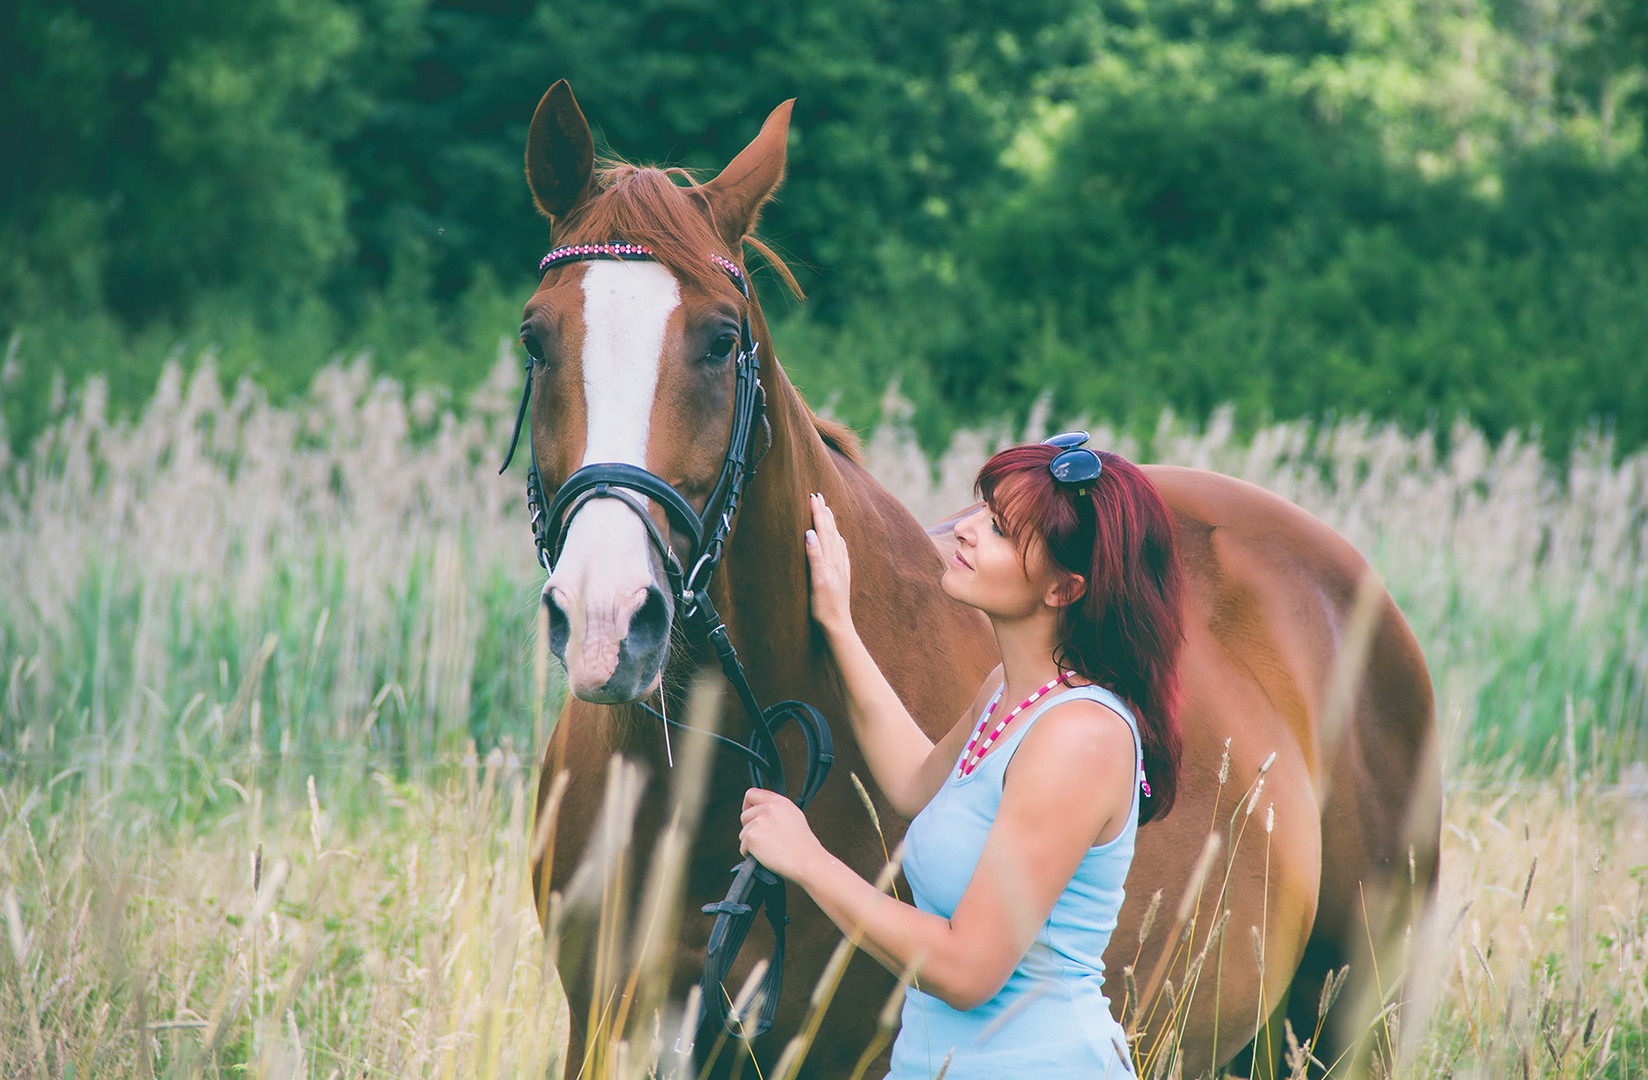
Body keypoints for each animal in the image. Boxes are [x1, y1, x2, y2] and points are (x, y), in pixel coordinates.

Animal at [520, 78, 1437, 1080]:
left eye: (722, 342)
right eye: (536, 341)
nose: (606, 620)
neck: (705, 785)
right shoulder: (599, 1029)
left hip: (1348, 1021)